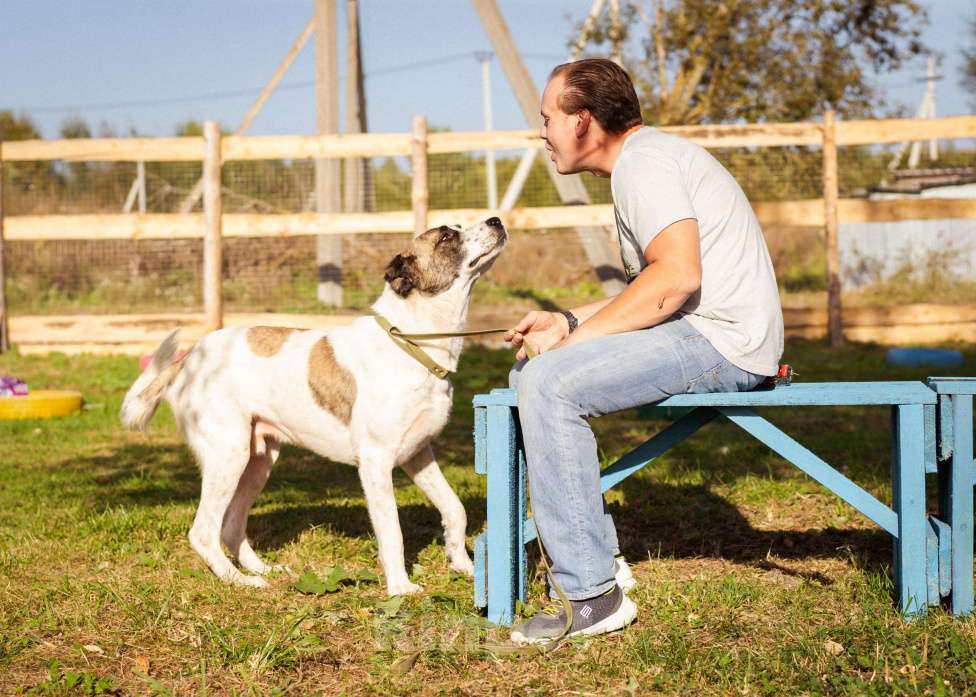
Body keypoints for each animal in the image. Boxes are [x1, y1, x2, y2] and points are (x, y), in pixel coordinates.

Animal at [118, 216, 508, 592]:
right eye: (446, 236)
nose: (496, 221)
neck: (410, 342)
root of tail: (188, 358)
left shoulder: (418, 454)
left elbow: (455, 509)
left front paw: (464, 566)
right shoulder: (376, 461)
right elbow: (392, 532)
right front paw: (400, 588)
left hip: (259, 461)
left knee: (230, 526)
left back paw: (264, 570)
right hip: (228, 455)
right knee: (203, 532)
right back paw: (241, 581)